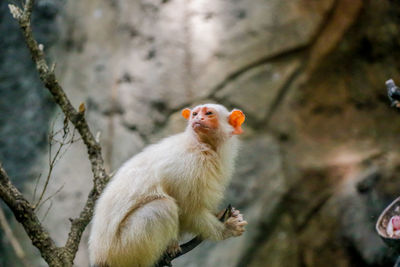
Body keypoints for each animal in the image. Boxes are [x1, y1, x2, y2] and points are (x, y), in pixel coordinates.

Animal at [88, 104, 247, 267]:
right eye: (195, 114)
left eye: (209, 113)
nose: (198, 119)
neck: (205, 146)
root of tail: (99, 257)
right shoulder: (189, 165)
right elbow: (189, 211)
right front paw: (225, 229)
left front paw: (222, 215)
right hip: (121, 250)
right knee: (163, 207)